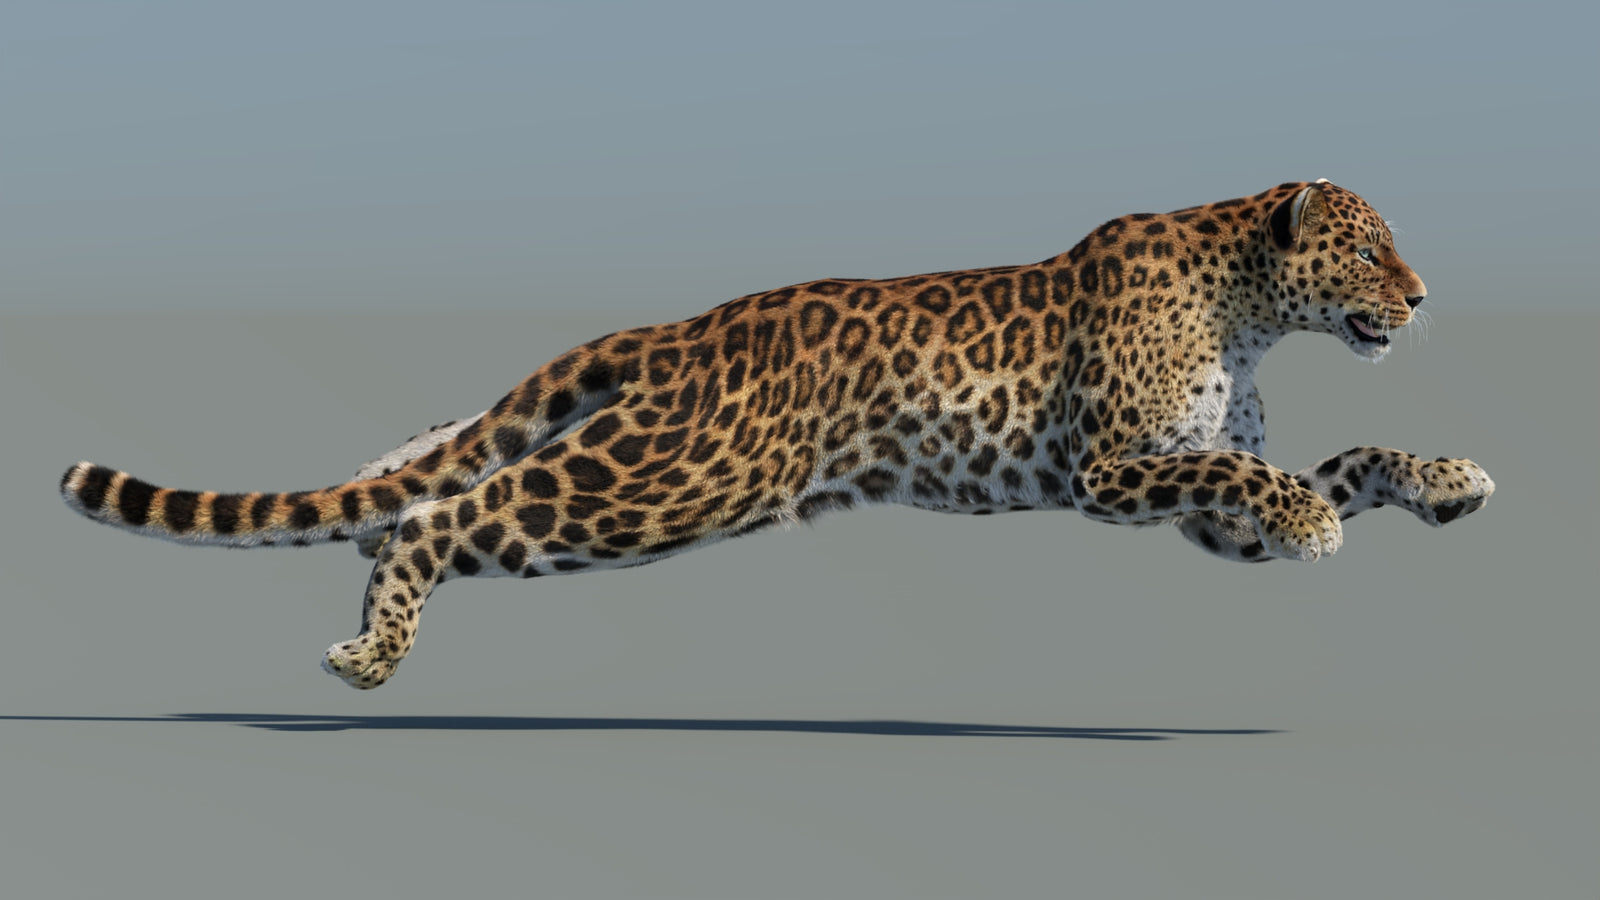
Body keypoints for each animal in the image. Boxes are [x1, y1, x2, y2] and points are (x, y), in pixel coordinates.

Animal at [60, 180, 1495, 689]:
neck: (1248, 306)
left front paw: (1448, 480)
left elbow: (1338, 459)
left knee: (417, 459)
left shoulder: (1196, 516)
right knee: (441, 511)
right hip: (659, 486)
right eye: (1372, 249)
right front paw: (1311, 516)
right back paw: (374, 651)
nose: (1424, 296)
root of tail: (681, 332)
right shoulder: (1115, 465)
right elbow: (1248, 465)